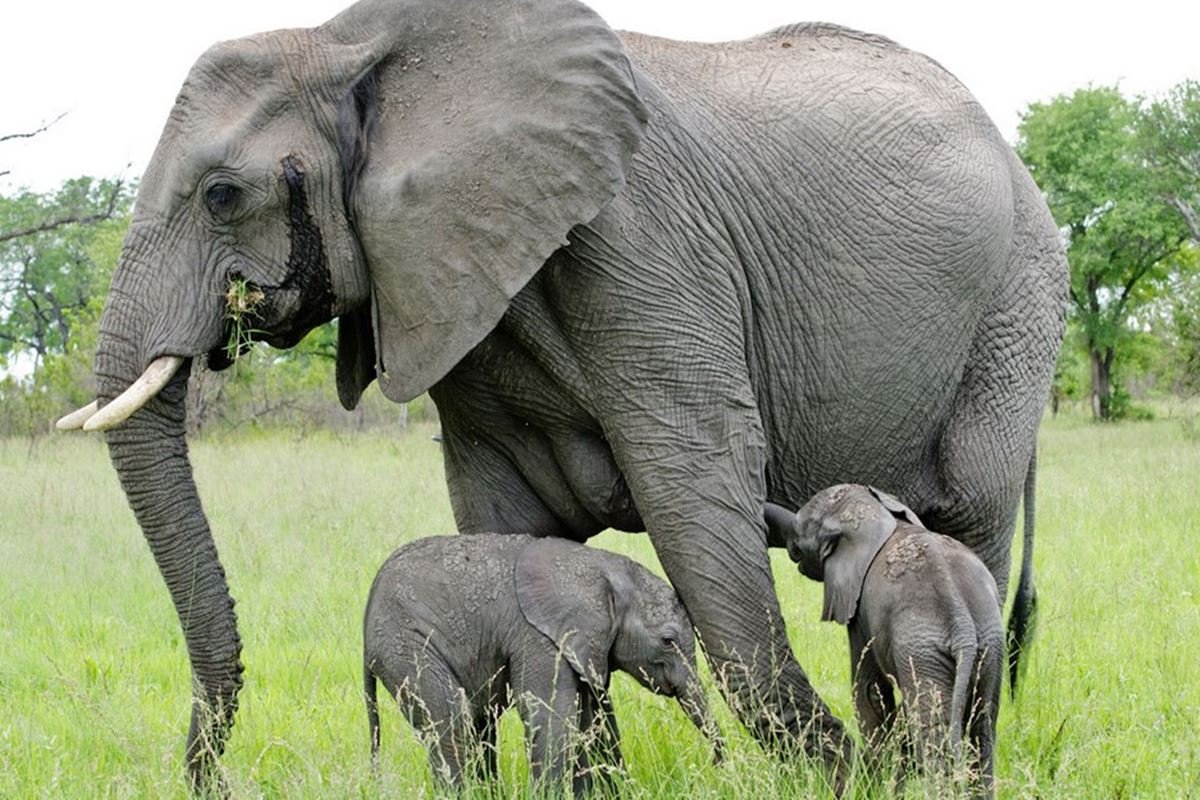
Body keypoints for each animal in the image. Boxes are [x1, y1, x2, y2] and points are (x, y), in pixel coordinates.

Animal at [362, 534, 722, 794]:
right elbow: (553, 715)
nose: (716, 767)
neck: (602, 569)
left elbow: (589, 719)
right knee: (452, 718)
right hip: (406, 643)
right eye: (667, 640)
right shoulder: (538, 636)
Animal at [766, 486, 1003, 796]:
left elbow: (868, 690)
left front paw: (876, 787)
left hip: (921, 653)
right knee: (982, 728)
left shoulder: (859, 609)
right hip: (990, 647)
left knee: (933, 733)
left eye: (801, 531)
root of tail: (961, 620)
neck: (876, 516)